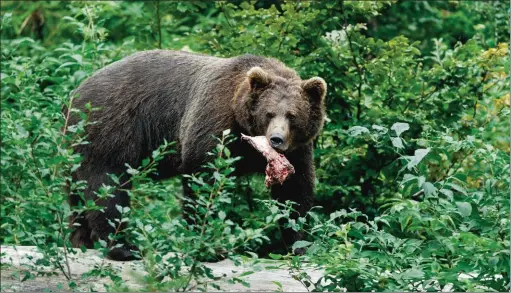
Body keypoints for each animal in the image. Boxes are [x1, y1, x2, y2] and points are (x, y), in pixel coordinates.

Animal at [67, 49, 328, 260]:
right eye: (269, 113)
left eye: (293, 115)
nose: (276, 139)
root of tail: (76, 92)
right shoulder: (215, 120)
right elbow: (203, 175)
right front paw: (209, 247)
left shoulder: (298, 150)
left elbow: (294, 190)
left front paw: (301, 244)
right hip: (112, 126)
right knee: (108, 184)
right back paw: (123, 247)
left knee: (76, 189)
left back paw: (80, 239)